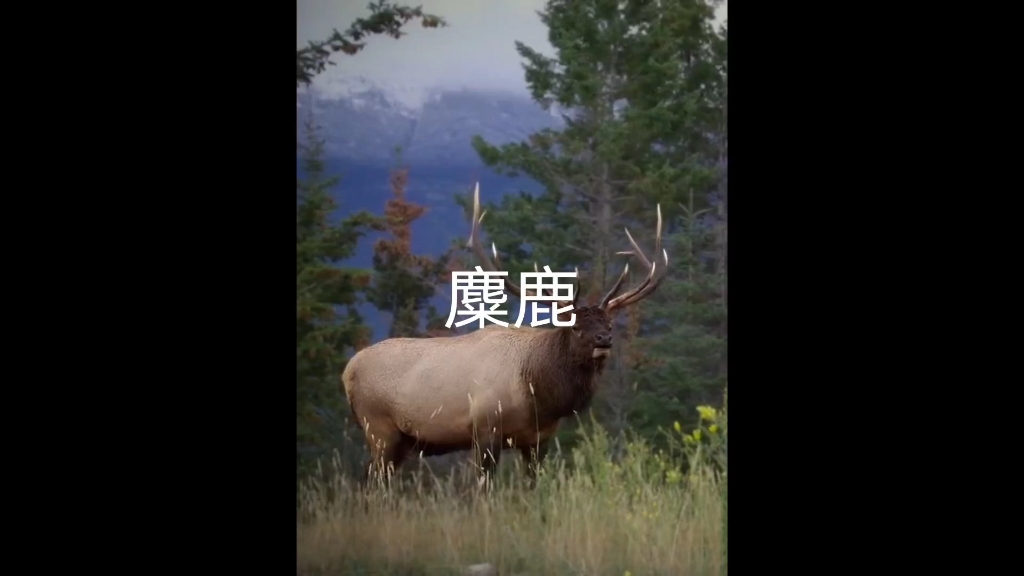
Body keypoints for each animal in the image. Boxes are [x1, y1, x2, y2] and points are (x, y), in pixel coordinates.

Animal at [341, 182, 668, 486]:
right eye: (575, 328)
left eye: (609, 326)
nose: (603, 340)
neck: (539, 396)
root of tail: (347, 371)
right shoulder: (485, 428)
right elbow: (483, 489)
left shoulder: (539, 439)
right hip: (379, 427)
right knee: (373, 482)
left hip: (398, 441)